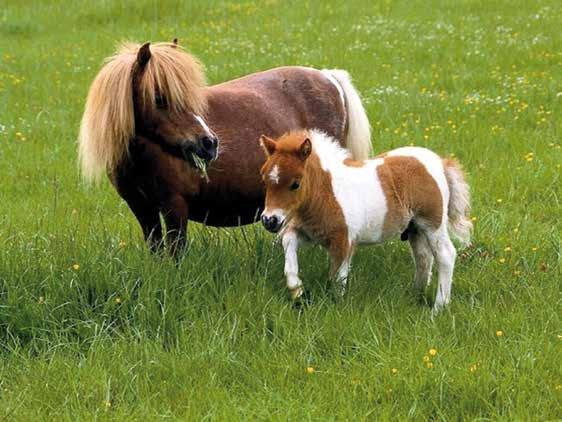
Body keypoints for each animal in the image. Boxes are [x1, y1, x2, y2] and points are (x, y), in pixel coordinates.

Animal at [260, 130, 470, 312]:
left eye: (296, 184)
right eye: (265, 180)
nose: (269, 220)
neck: (327, 192)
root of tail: (441, 163)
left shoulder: (343, 241)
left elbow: (337, 278)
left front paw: (335, 309)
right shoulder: (310, 233)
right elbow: (288, 243)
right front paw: (297, 290)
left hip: (433, 223)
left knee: (445, 255)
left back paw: (438, 308)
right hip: (415, 228)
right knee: (423, 258)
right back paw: (415, 296)